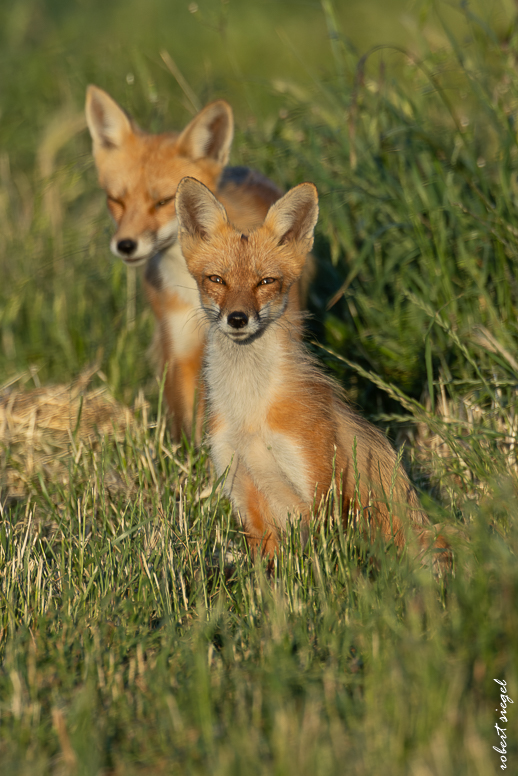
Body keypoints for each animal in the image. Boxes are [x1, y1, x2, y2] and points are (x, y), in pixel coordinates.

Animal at [175, 175, 450, 564]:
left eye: (265, 282)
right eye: (216, 279)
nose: (238, 318)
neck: (250, 416)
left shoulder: (320, 490)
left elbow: (325, 562)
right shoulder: (244, 494)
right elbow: (267, 569)